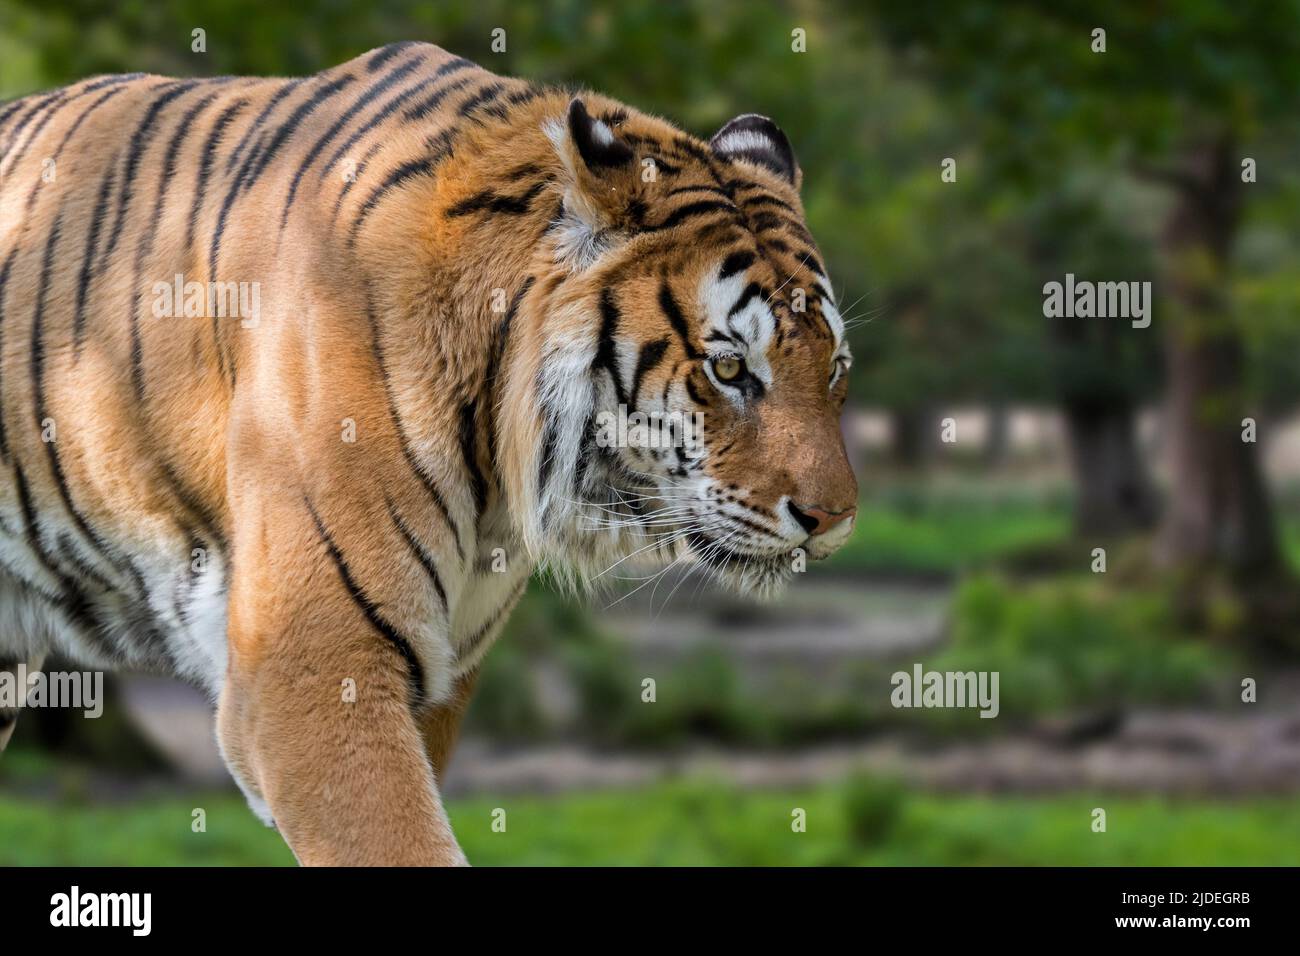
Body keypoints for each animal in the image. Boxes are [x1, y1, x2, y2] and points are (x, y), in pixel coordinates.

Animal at [0, 42, 857, 868]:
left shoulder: (437, 681)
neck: (501, 473)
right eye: (730, 368)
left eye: (835, 369)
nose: (836, 520)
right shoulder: (314, 666)